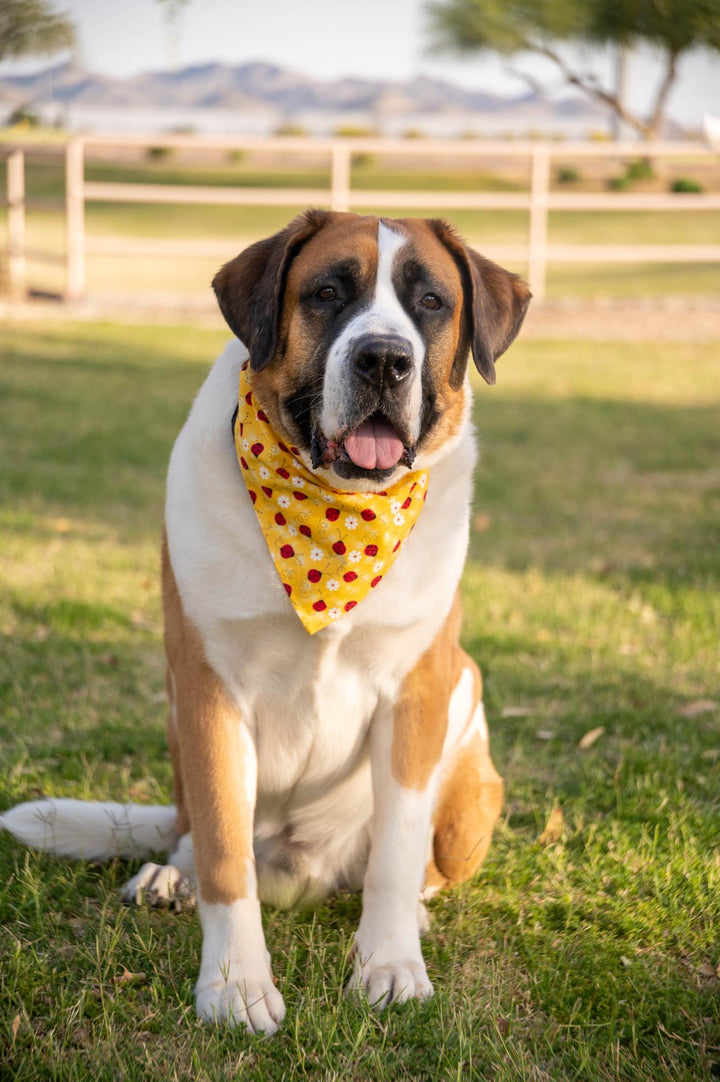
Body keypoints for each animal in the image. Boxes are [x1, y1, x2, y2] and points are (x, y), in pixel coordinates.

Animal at [1, 208, 528, 1030]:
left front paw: (390, 962)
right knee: (199, 836)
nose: (385, 359)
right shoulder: (208, 689)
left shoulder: (417, 691)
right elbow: (225, 852)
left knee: (420, 857)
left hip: (467, 747)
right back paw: (171, 876)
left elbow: (397, 849)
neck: (333, 520)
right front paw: (235, 984)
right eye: (327, 292)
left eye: (431, 302)